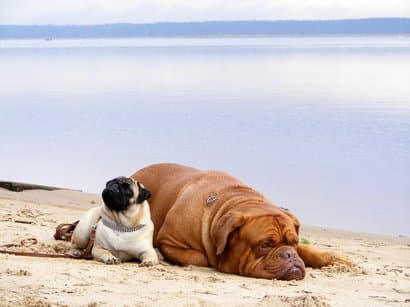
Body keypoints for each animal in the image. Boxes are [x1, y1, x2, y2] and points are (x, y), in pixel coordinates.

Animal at [131, 165, 350, 280]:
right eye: (265, 245)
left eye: (294, 242)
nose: (289, 254)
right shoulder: (169, 240)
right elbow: (200, 258)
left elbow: (309, 251)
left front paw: (338, 259)